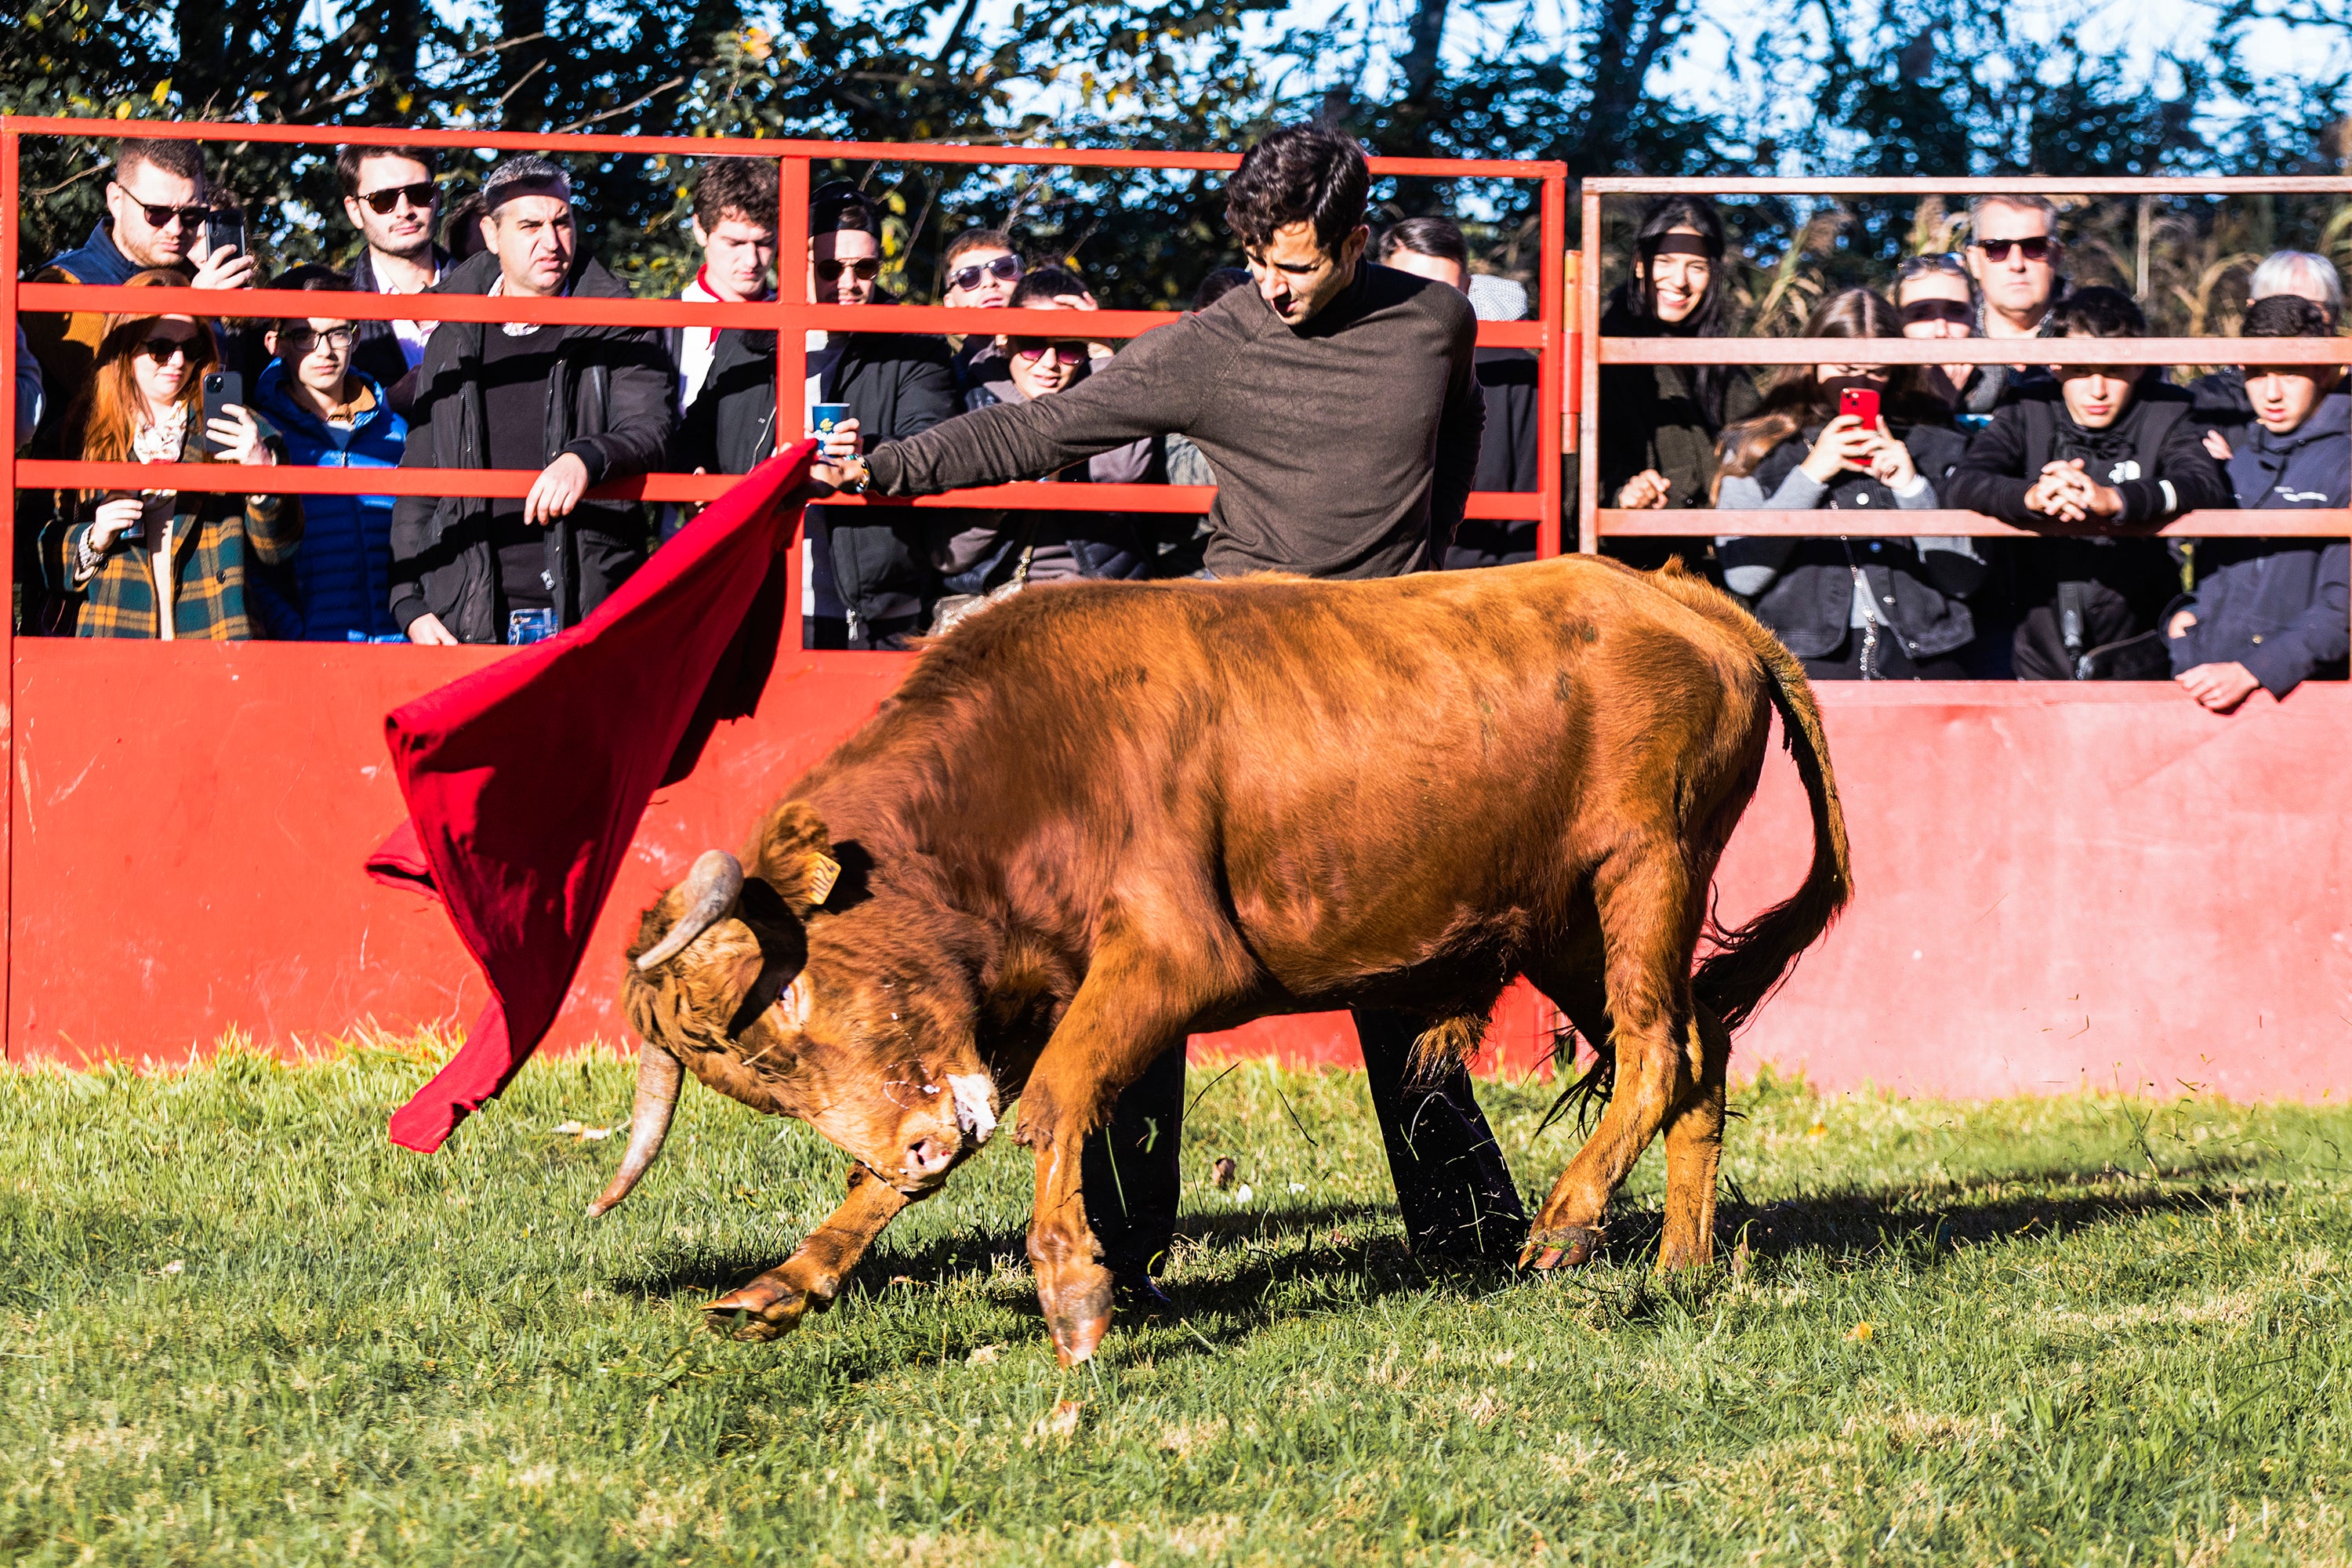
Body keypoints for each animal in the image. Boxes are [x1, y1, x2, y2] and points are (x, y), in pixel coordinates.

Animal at [597, 557, 1844, 1363]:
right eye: (756, 1074)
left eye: (790, 1000)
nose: (916, 1142)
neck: (1019, 769)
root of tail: (1673, 592)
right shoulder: (1021, 1004)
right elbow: (949, 1150)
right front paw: (785, 1284)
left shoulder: (1170, 960)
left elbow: (1058, 1103)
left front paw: (1075, 1290)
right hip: (1568, 922)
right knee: (1697, 1050)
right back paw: (1679, 1265)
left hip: (1645, 866)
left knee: (1656, 1048)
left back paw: (1571, 1220)